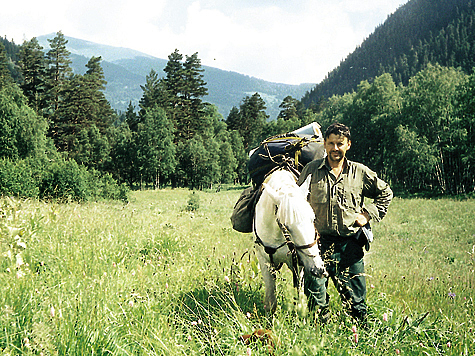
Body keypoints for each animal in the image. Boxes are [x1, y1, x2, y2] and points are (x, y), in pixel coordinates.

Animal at [255, 168, 326, 312]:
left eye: (313, 218)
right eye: (286, 226)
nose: (318, 269)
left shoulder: (298, 264)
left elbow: (299, 300)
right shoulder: (264, 261)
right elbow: (271, 301)